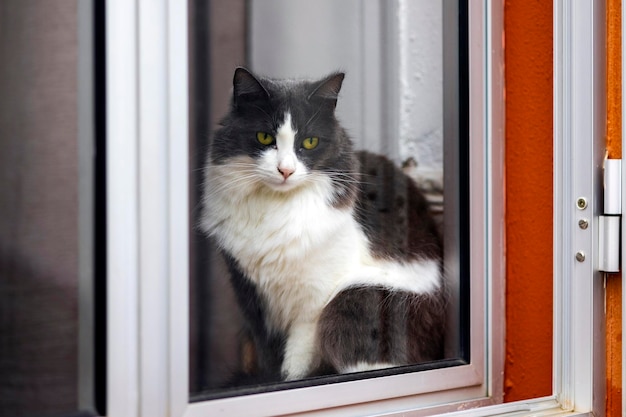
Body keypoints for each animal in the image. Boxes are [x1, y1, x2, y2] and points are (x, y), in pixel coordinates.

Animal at [200, 68, 444, 384]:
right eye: (264, 137)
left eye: (309, 143)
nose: (285, 170)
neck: (278, 208)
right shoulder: (252, 297)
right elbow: (268, 358)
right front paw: (271, 380)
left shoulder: (315, 300)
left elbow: (296, 362)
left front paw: (292, 380)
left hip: (356, 297)